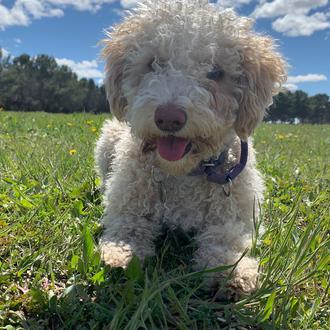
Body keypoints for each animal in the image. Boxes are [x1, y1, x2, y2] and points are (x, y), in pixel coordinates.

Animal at [94, 0, 286, 294]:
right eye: (153, 63)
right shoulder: (129, 202)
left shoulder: (234, 214)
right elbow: (129, 225)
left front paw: (231, 271)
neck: (185, 172)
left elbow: (225, 239)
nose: (169, 118)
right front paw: (121, 253)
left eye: (216, 72)